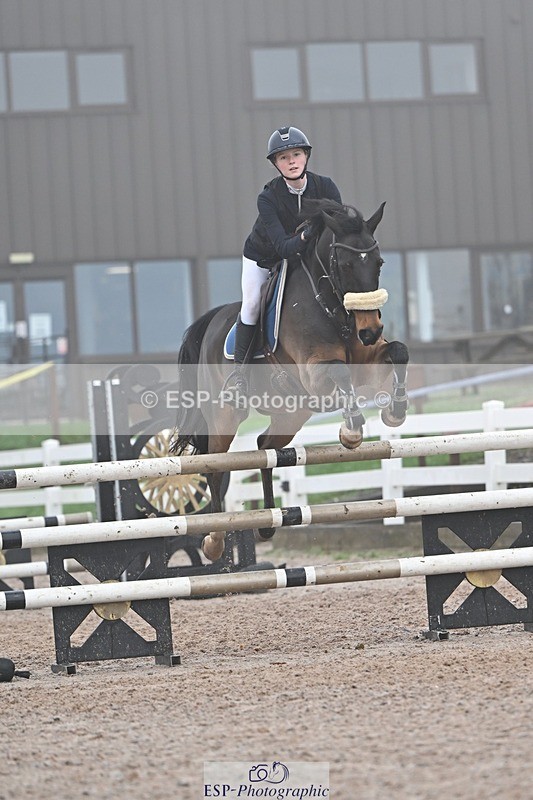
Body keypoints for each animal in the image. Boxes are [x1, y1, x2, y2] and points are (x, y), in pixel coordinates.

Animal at [171, 199, 409, 561]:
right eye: (346, 264)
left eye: (378, 263)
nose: (370, 330)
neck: (334, 311)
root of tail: (212, 321)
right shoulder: (315, 373)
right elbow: (340, 373)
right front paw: (352, 431)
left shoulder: (369, 365)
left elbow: (398, 351)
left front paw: (395, 410)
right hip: (225, 416)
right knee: (215, 464)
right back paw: (214, 541)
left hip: (290, 415)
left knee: (264, 448)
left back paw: (269, 523)